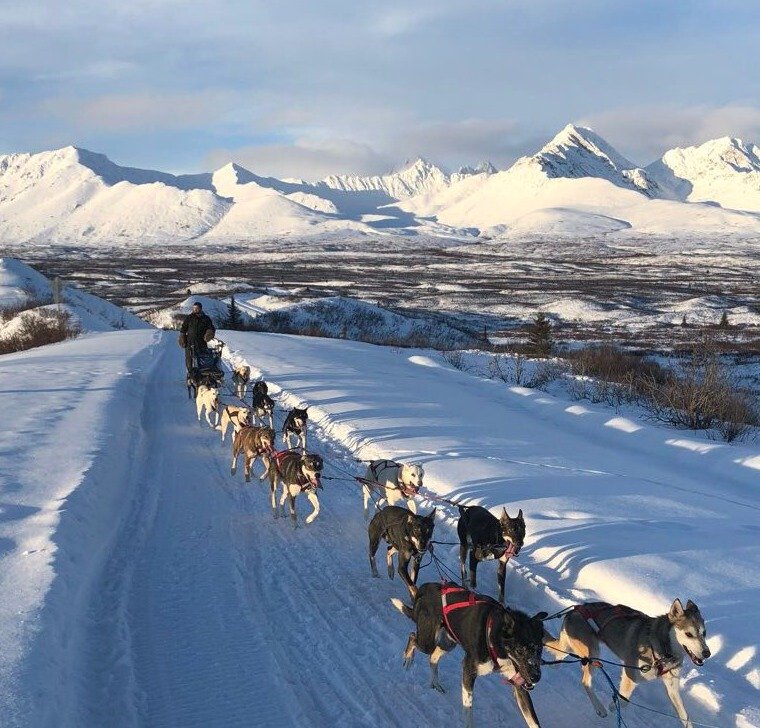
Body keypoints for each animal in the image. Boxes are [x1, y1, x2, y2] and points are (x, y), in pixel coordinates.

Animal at [392, 580, 548, 728]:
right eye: (520, 650)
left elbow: (533, 721)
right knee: (413, 637)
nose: (536, 677)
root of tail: (426, 587)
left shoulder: (519, 683)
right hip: (427, 642)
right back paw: (408, 658)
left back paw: (435, 683)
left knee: (433, 657)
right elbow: (468, 709)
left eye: (539, 649)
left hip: (448, 643)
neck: (494, 637)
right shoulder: (468, 670)